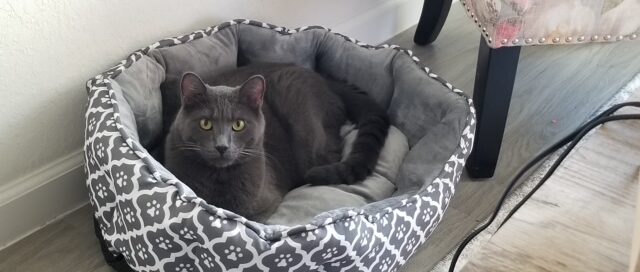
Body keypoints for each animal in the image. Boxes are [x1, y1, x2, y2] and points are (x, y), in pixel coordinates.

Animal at [164, 65, 390, 222]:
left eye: (238, 124)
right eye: (205, 123)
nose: (222, 146)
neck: (217, 179)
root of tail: (324, 79)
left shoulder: (263, 206)